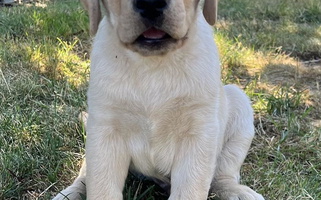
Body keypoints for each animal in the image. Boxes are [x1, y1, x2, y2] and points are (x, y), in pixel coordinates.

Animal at [53, 0, 262, 199]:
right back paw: (71, 193)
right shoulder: (105, 130)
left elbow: (189, 191)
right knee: (85, 175)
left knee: (221, 175)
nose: (151, 3)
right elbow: (101, 188)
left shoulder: (199, 132)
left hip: (238, 103)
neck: (152, 63)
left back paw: (237, 191)